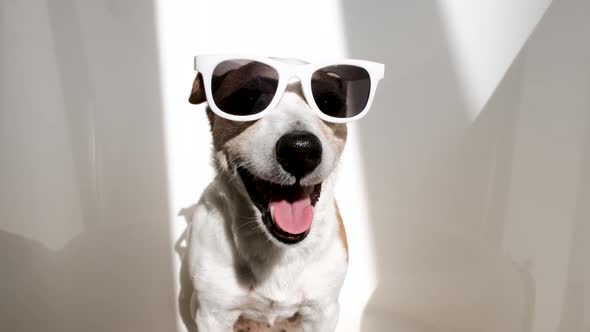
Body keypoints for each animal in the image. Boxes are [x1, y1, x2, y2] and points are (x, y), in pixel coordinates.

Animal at [185, 55, 386, 330]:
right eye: (247, 99)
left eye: (328, 103)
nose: (300, 150)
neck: (275, 249)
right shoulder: (213, 315)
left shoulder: (323, 311)